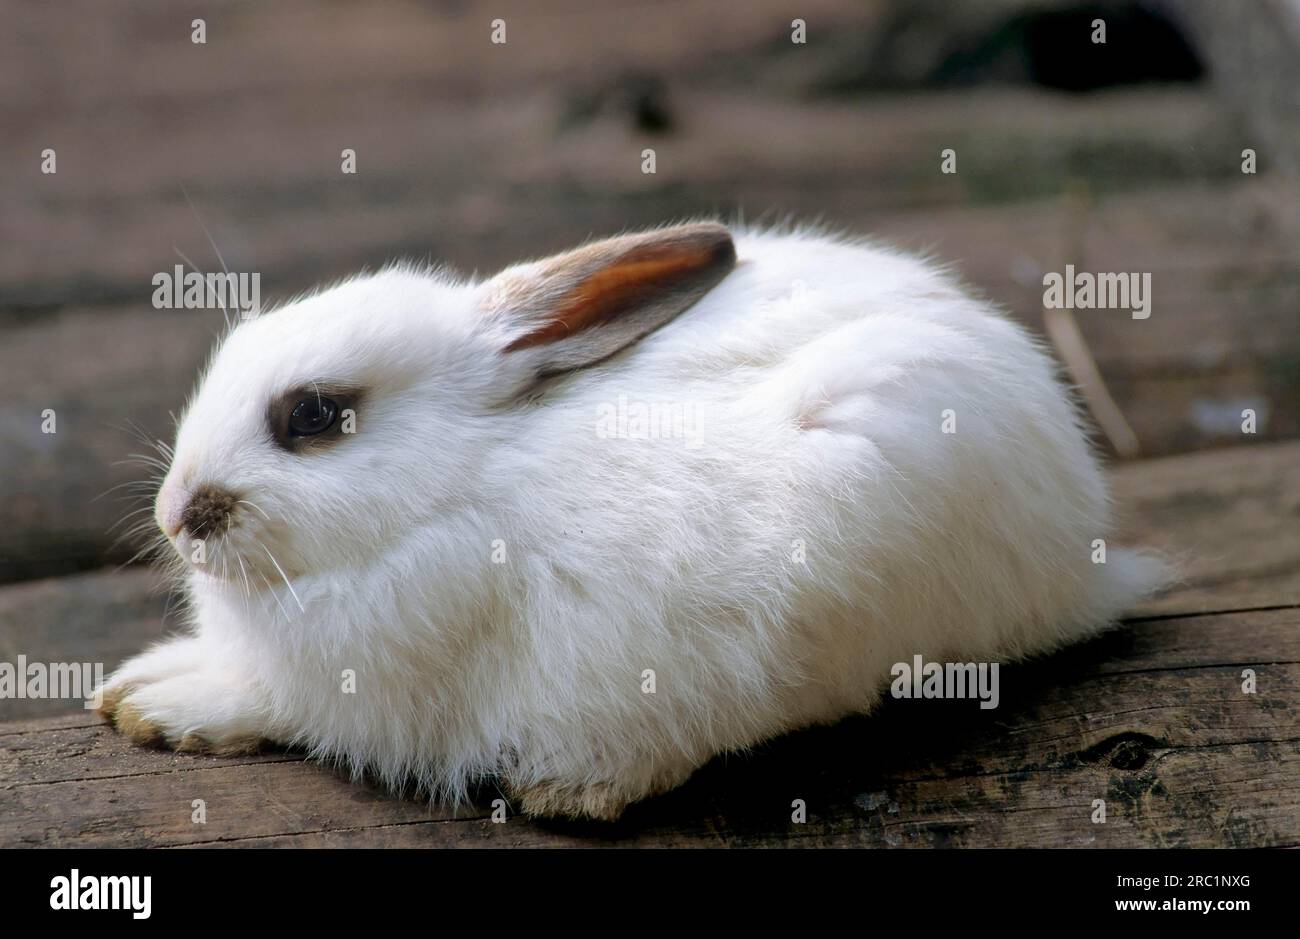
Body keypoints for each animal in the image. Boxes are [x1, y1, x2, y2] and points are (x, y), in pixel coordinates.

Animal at [97, 221, 1167, 820]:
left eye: (315, 415)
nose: (178, 515)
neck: (456, 483)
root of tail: (1085, 555)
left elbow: (274, 705)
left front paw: (167, 706)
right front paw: (137, 688)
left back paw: (571, 791)